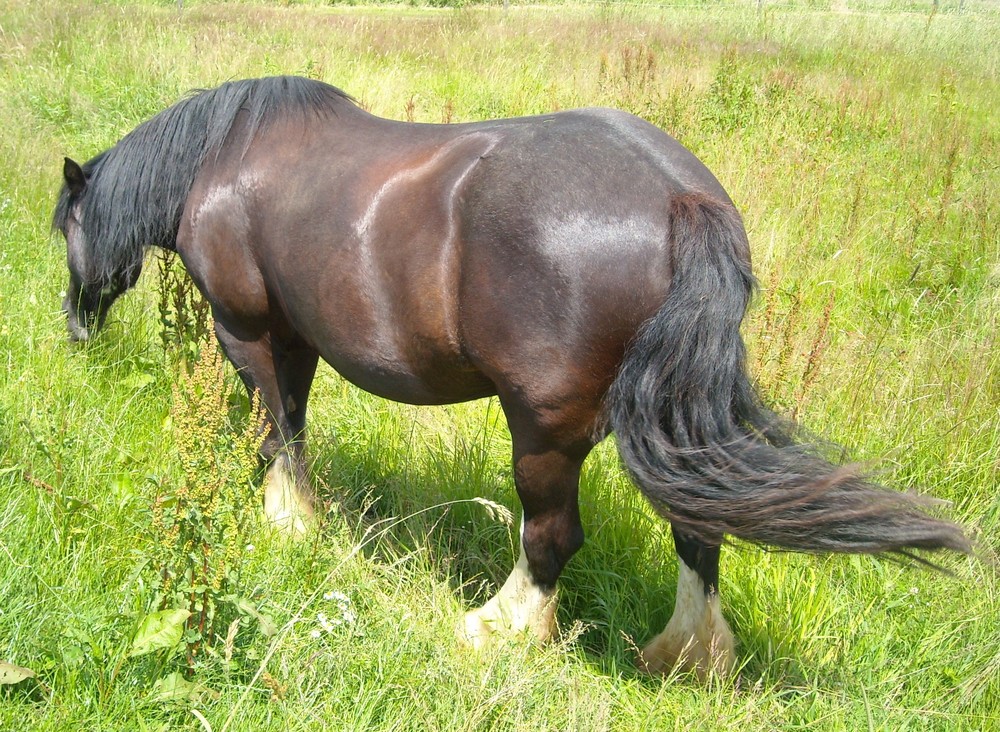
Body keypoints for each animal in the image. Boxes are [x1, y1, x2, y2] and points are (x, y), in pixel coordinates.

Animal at [54, 77, 968, 676]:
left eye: (65, 225)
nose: (72, 327)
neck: (223, 160)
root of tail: (680, 197)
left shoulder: (246, 330)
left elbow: (275, 429)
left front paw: (286, 520)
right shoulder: (295, 337)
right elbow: (297, 423)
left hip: (543, 429)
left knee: (551, 536)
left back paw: (501, 626)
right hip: (671, 420)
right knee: (697, 530)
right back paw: (688, 654)